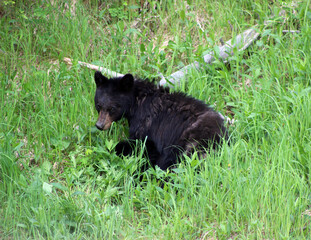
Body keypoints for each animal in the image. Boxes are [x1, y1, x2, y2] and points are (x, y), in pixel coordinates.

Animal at [94, 71, 228, 171]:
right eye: (98, 105)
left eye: (112, 108)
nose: (99, 125)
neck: (137, 102)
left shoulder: (146, 124)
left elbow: (142, 144)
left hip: (189, 141)